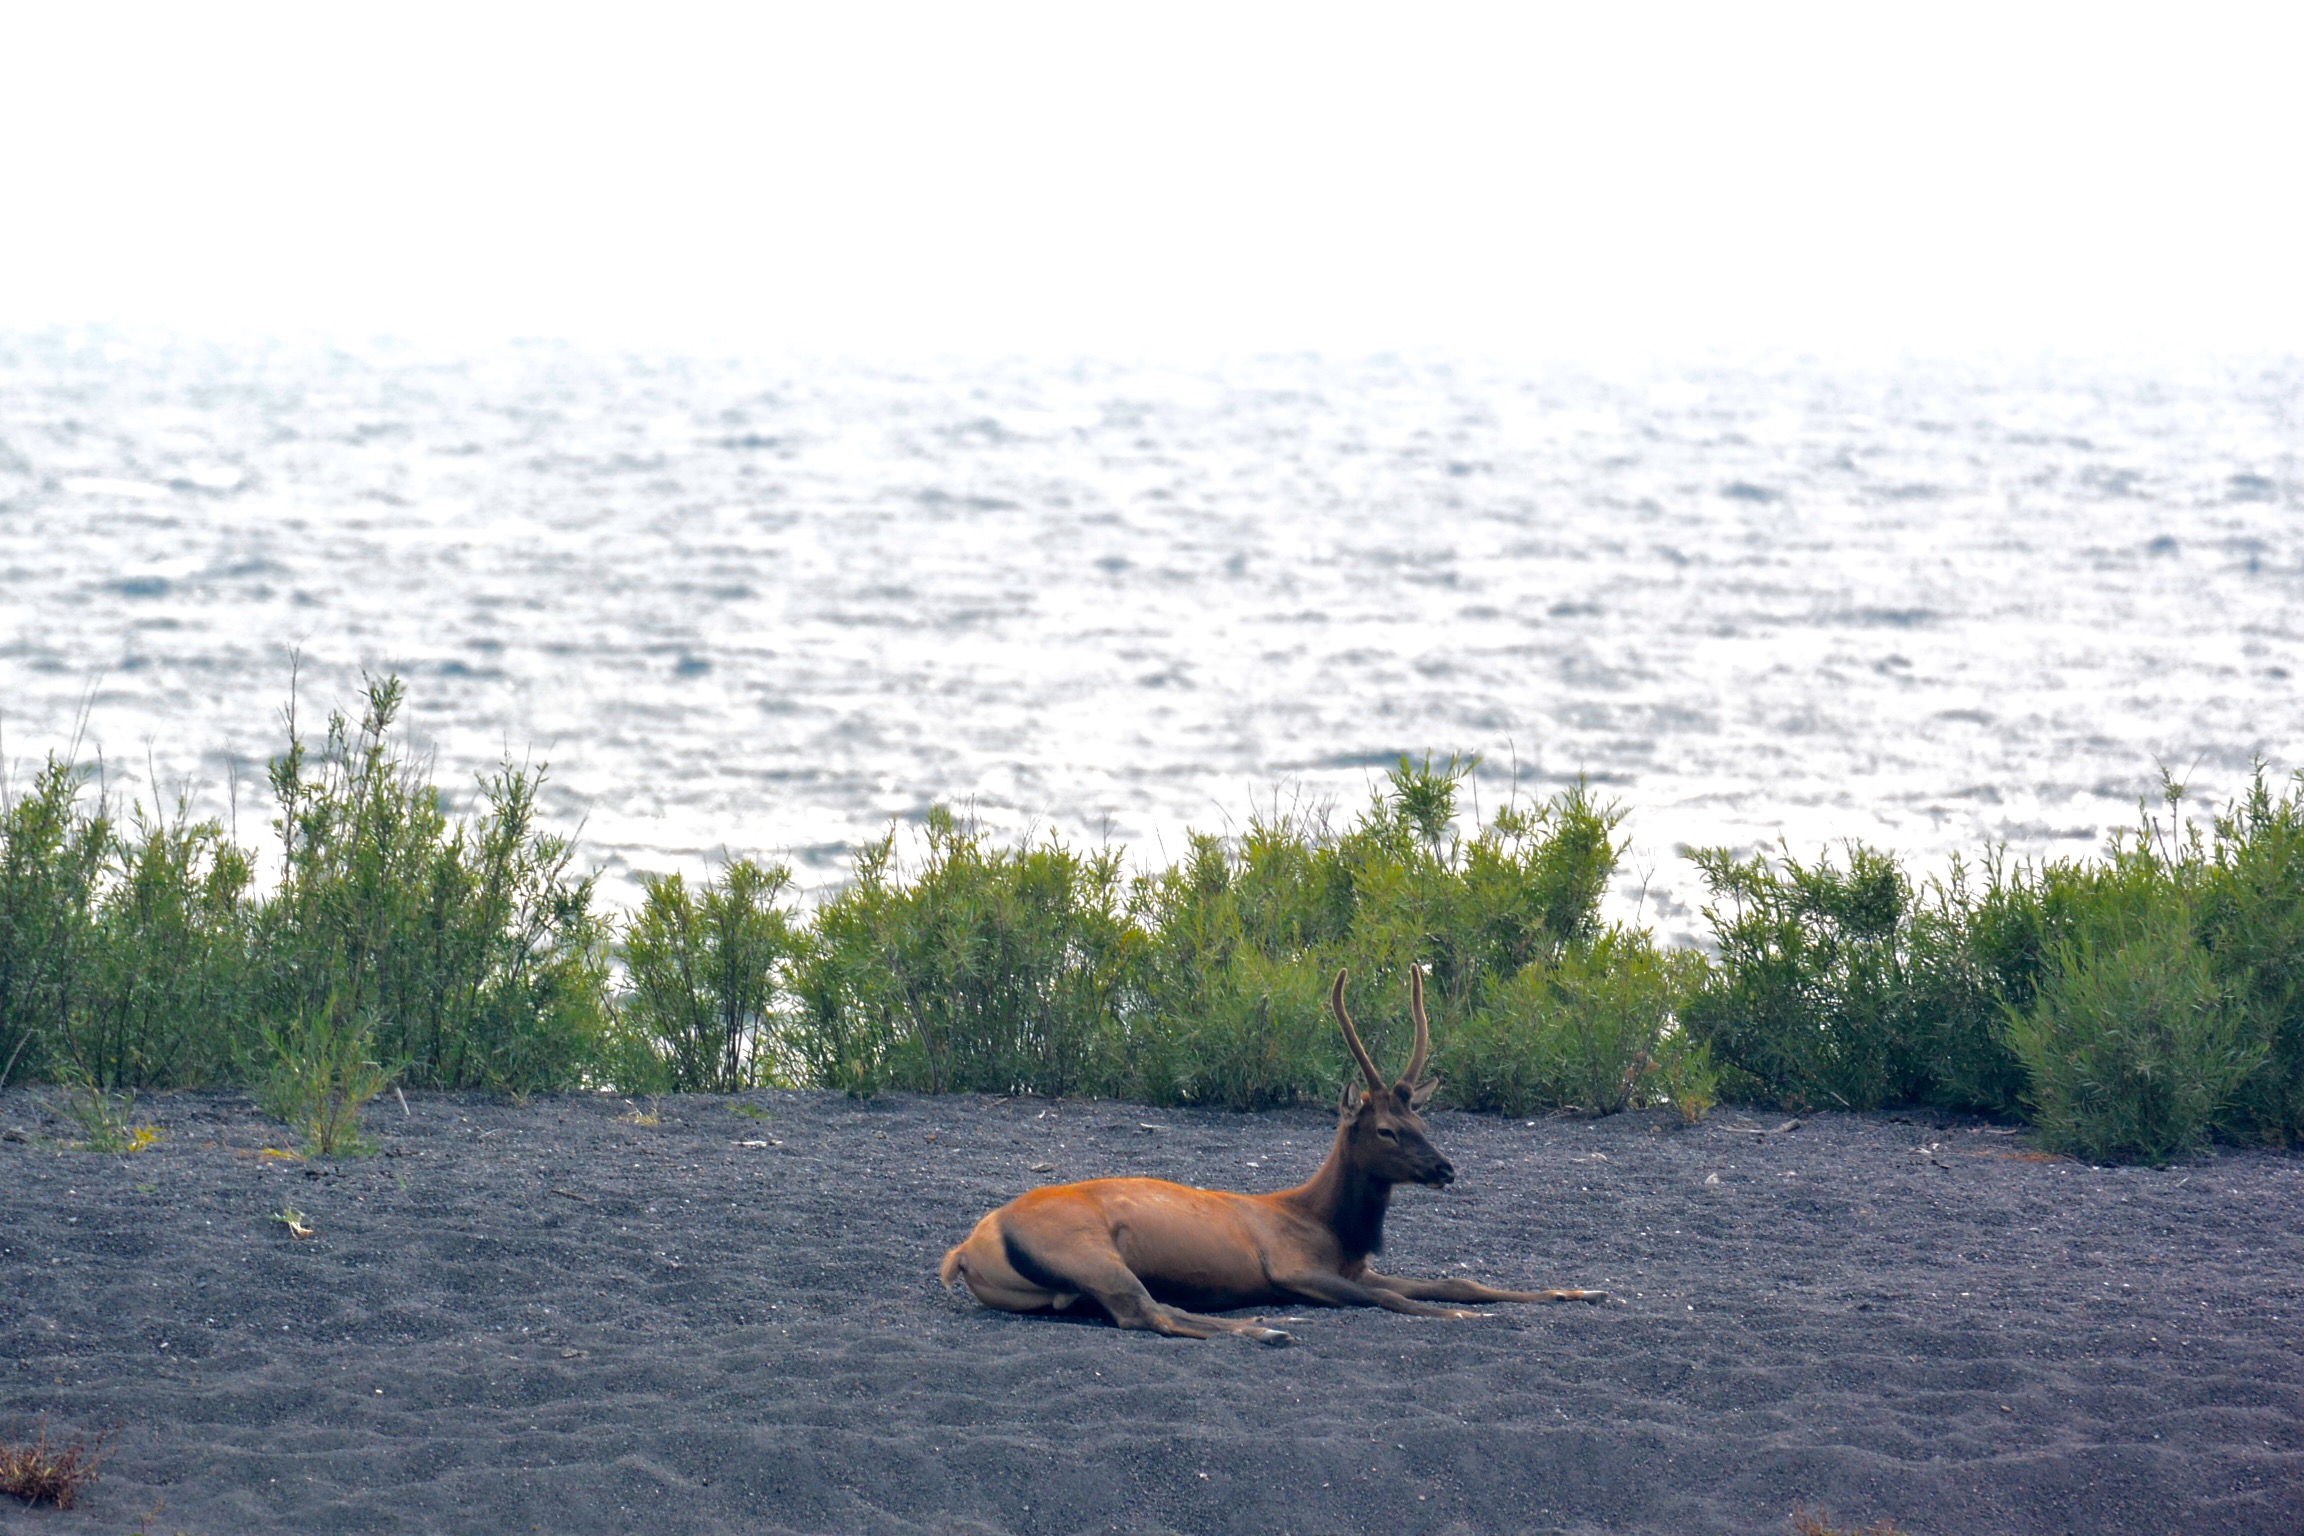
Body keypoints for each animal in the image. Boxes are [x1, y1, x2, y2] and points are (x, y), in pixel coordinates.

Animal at [939, 967, 1607, 1344]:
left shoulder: (1354, 1269)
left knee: (1144, 1309)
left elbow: (1456, 1280)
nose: (1445, 1168)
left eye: (1421, 1118)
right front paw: (1470, 1321)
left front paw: (1579, 1293)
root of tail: (964, 1251)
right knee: (1147, 1310)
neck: (1332, 1228)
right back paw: (1268, 1329)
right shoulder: (1291, 1269)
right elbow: (1398, 1300)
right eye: (1386, 1130)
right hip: (1087, 1251)